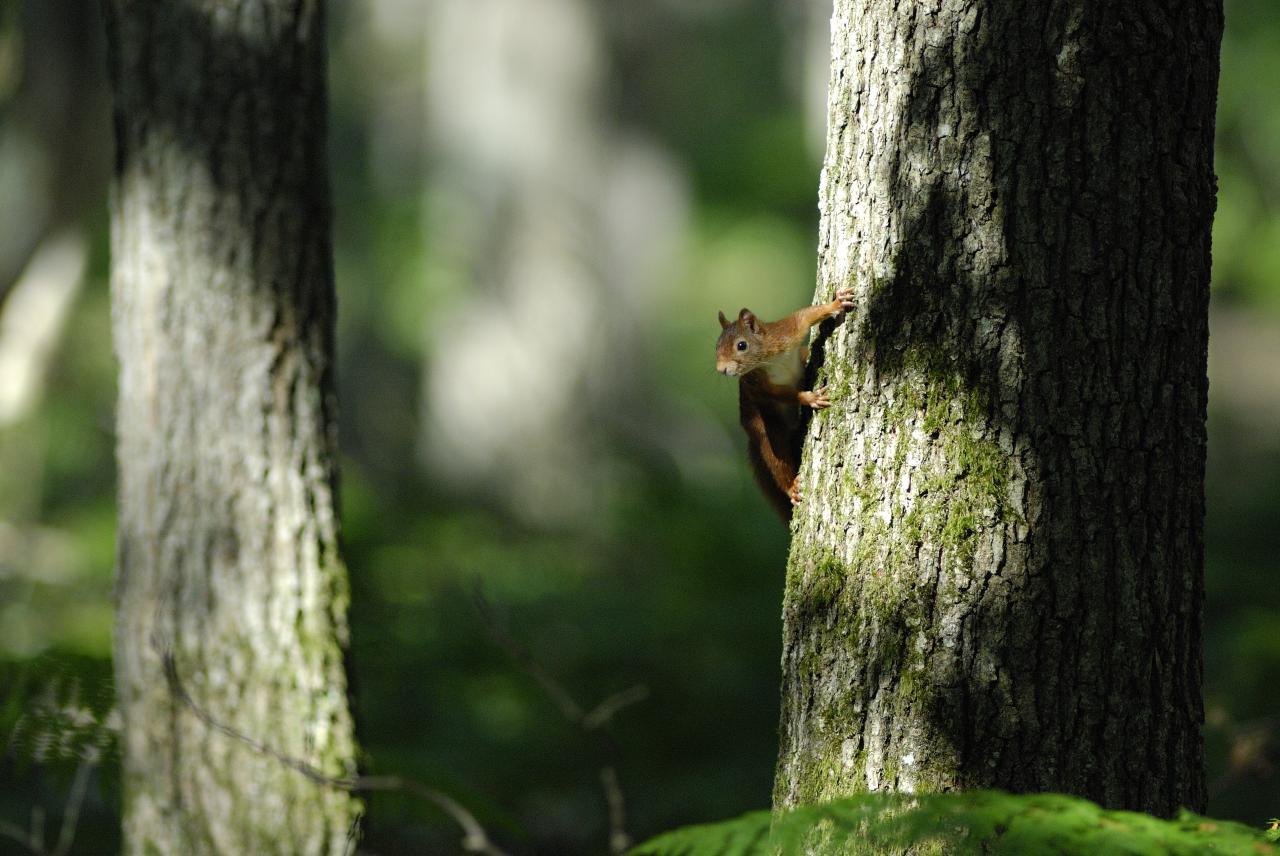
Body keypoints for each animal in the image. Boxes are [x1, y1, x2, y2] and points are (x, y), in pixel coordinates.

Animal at [716, 286, 855, 516]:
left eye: (741, 345)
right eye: (716, 347)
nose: (721, 370)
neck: (768, 360)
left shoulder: (785, 334)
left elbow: (805, 316)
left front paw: (836, 303)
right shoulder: (758, 384)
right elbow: (780, 394)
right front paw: (810, 398)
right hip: (767, 430)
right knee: (776, 460)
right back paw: (791, 487)